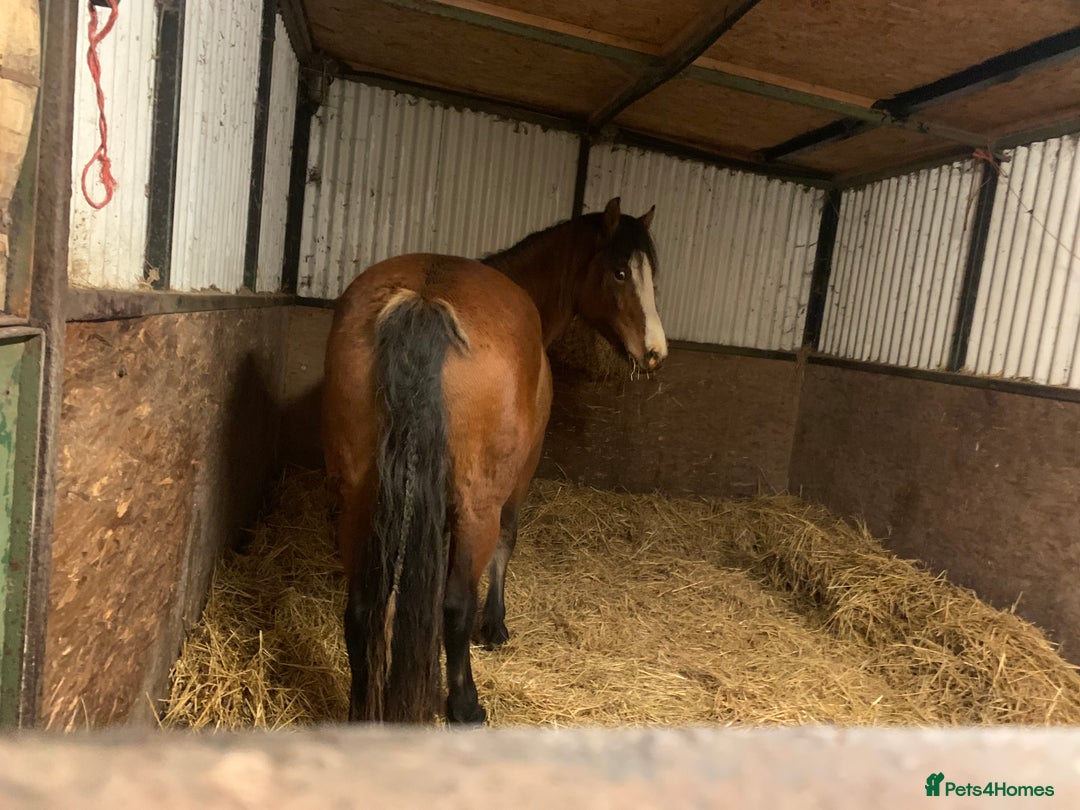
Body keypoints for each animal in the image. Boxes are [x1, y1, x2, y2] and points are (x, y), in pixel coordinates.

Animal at [321, 197, 668, 725]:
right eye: (620, 271)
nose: (655, 352)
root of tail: (424, 298)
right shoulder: (518, 480)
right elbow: (506, 544)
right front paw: (496, 625)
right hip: (476, 505)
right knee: (454, 605)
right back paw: (465, 704)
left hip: (360, 498)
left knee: (361, 609)